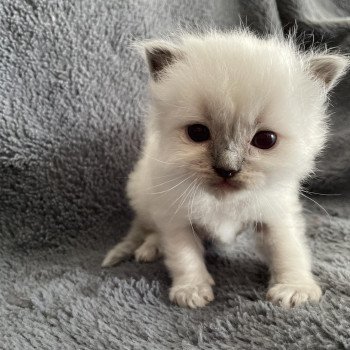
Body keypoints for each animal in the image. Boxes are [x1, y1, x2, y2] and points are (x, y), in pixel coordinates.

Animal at [101, 30, 348, 308]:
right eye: (197, 133)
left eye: (266, 140)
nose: (227, 169)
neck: (223, 202)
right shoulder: (176, 218)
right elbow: (184, 256)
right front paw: (192, 290)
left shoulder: (275, 212)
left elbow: (288, 248)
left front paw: (295, 289)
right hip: (146, 195)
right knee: (149, 228)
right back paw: (149, 249)